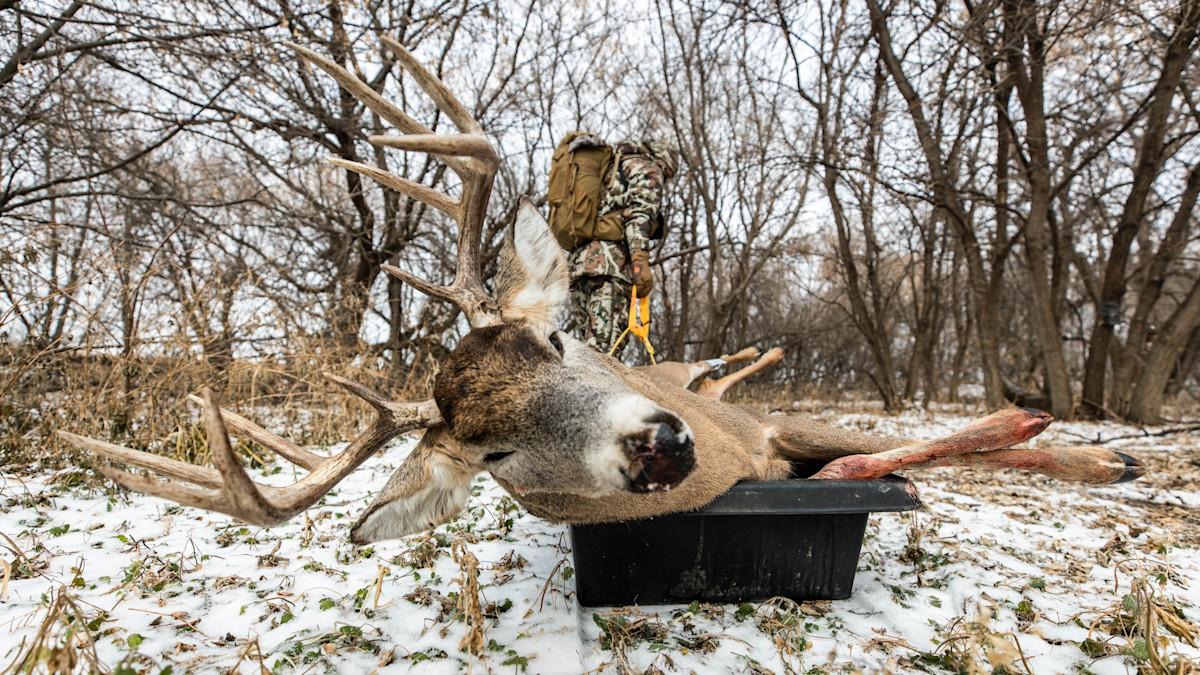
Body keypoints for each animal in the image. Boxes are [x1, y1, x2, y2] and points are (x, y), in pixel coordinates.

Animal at [57, 37, 1144, 547]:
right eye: (491, 455)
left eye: (553, 342)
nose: (656, 445)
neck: (731, 465)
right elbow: (857, 465)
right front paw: (1059, 437)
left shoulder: (767, 425)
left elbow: (881, 446)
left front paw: (1084, 450)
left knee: (754, 374)